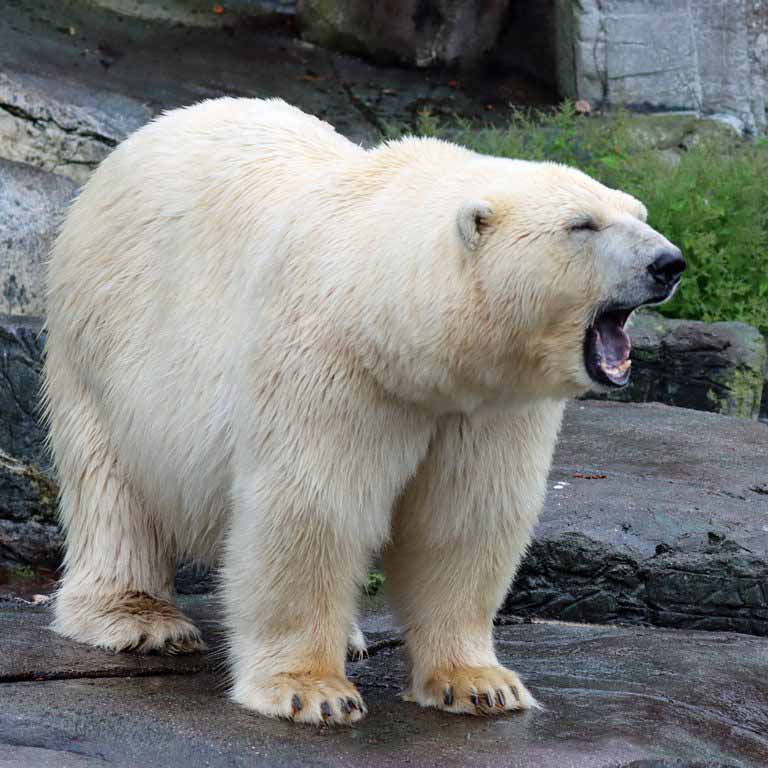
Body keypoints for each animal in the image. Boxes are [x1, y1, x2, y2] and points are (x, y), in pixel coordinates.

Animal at [43, 98, 684, 725]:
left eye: (638, 211)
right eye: (583, 224)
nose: (669, 262)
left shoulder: (487, 402)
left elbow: (466, 515)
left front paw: (480, 684)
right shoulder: (332, 364)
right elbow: (313, 504)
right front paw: (312, 692)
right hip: (104, 333)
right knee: (111, 484)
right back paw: (140, 619)